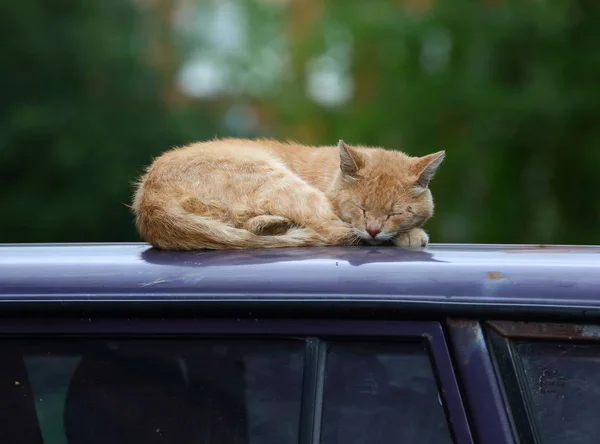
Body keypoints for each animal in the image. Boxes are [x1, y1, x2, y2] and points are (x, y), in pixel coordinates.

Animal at [135, 139, 446, 250]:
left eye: (395, 212)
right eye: (361, 208)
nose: (373, 229)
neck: (330, 173)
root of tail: (149, 200)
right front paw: (410, 235)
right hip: (283, 183)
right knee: (330, 230)